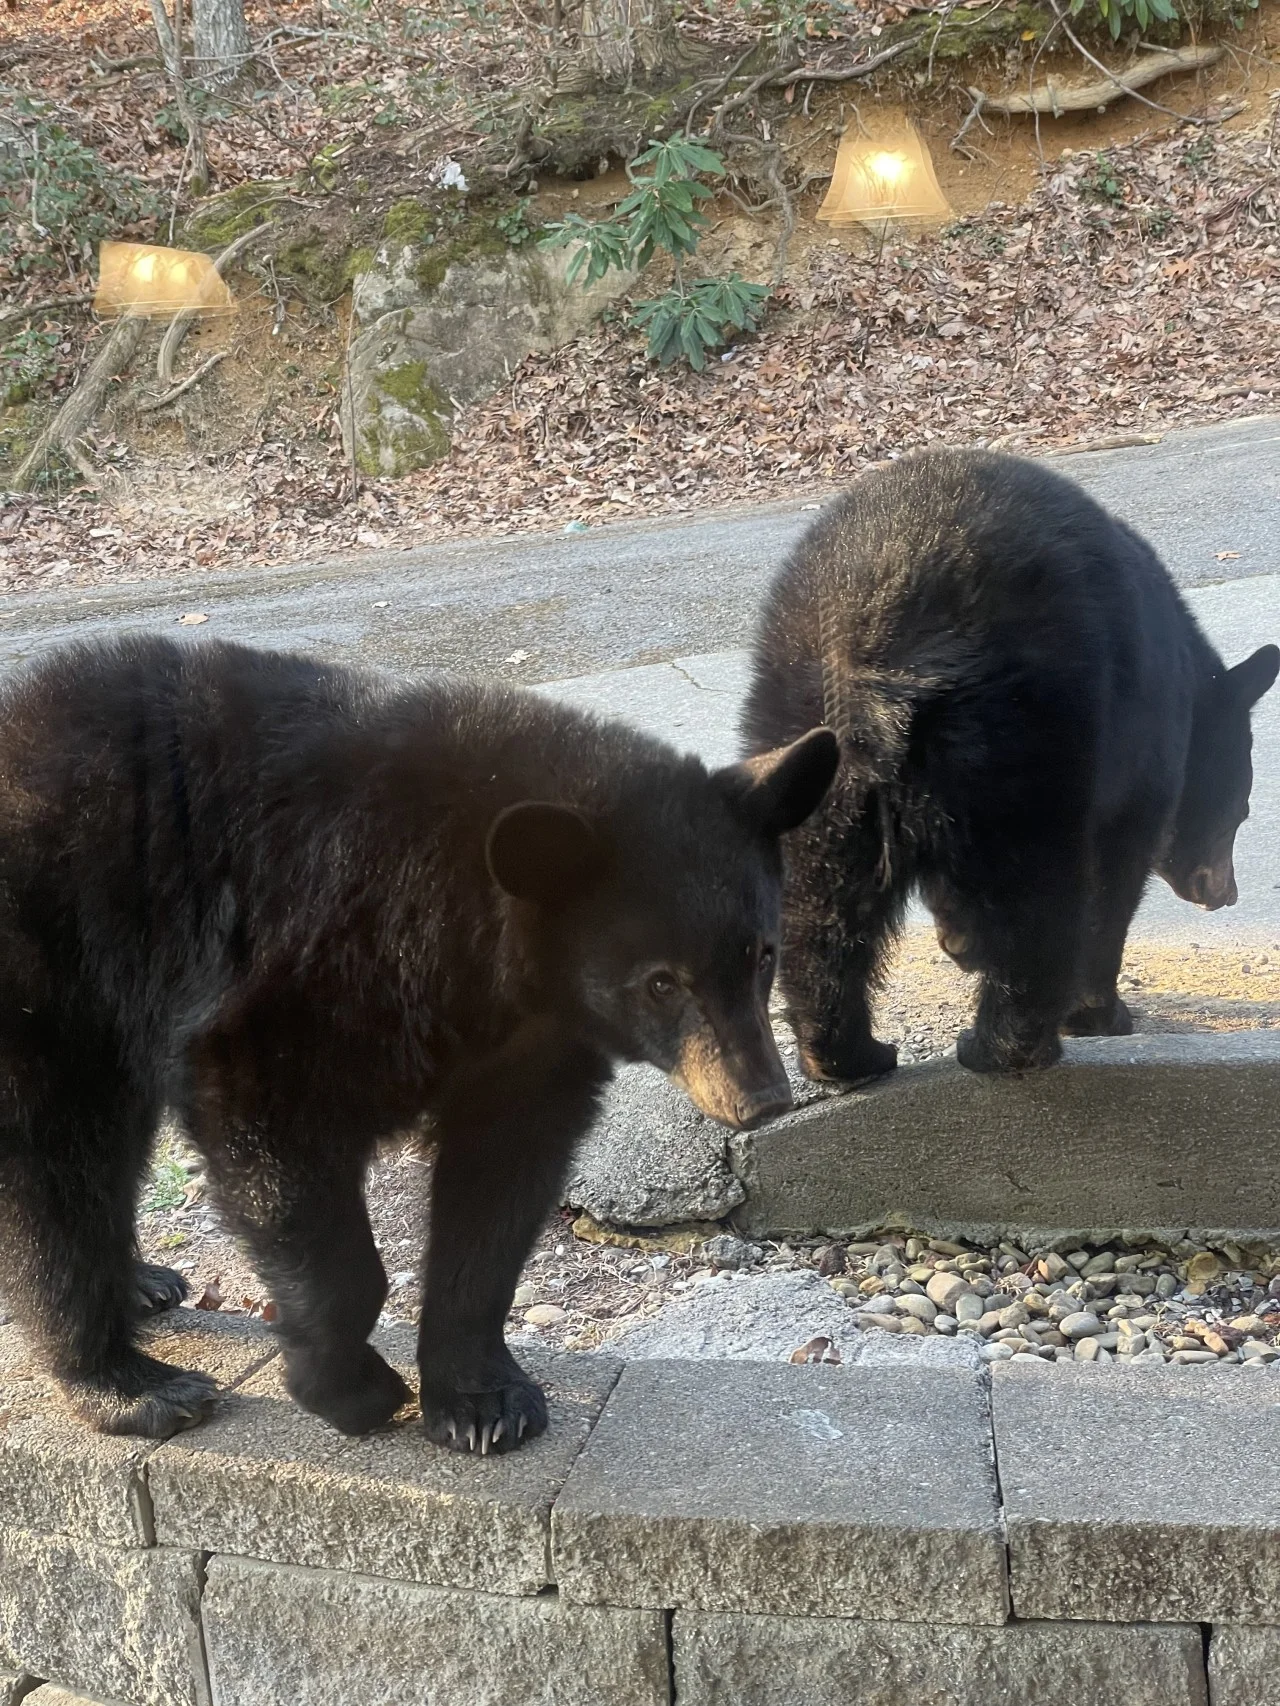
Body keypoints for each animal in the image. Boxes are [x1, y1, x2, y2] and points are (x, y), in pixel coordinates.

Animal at [0, 635, 837, 1450]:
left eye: (763, 954)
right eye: (662, 982)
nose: (762, 1097)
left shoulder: (528, 1050)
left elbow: (500, 1185)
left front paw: (483, 1401)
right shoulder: (303, 970)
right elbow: (274, 1137)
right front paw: (349, 1388)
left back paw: (143, 1284)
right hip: (54, 965)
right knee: (57, 1172)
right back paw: (131, 1385)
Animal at [740, 447, 1278, 1078]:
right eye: (1239, 812)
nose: (1226, 893)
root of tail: (884, 638)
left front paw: (961, 940)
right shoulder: (1142, 751)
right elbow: (1117, 872)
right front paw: (1100, 1012)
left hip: (801, 725)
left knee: (817, 900)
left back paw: (845, 1056)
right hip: (1031, 731)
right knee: (1041, 893)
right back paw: (1009, 1046)